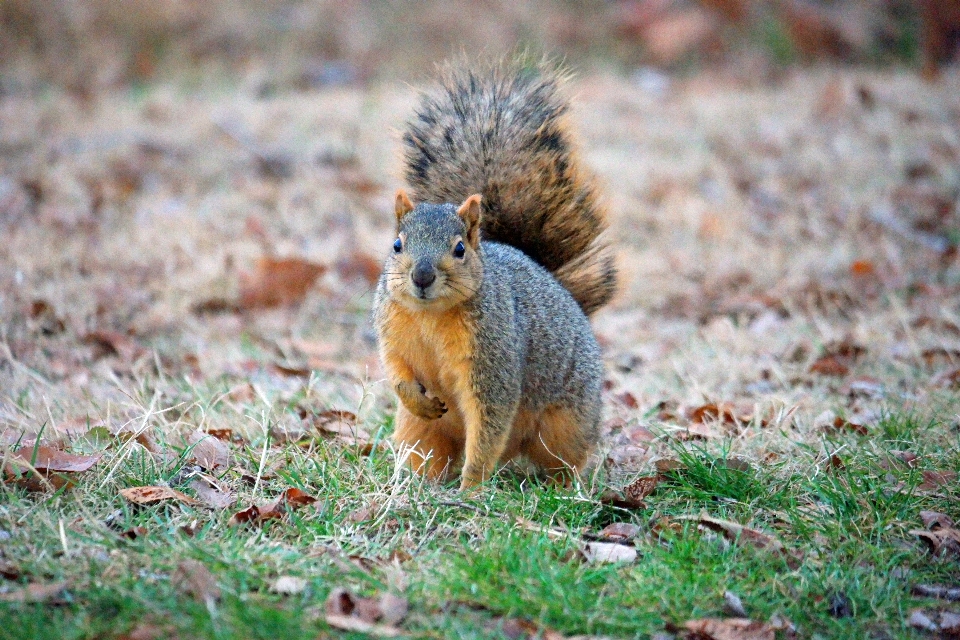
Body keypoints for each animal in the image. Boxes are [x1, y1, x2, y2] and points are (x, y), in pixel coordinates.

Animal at [372, 60, 620, 490]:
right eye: (397, 245)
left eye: (459, 249)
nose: (422, 277)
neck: (429, 316)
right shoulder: (393, 333)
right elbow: (397, 372)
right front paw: (417, 398)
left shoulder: (494, 360)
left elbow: (488, 421)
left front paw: (471, 488)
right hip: (419, 432)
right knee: (427, 450)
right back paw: (416, 483)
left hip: (566, 423)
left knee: (563, 458)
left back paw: (563, 489)